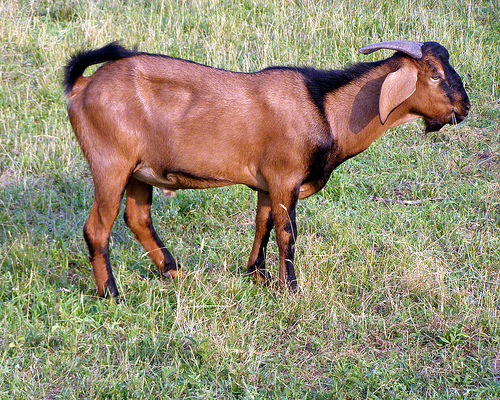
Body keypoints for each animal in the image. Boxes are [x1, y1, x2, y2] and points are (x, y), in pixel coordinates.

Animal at [63, 40, 468, 296]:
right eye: (434, 74)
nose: (463, 108)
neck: (324, 108)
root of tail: (82, 86)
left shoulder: (266, 183)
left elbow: (264, 222)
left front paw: (257, 275)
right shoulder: (284, 177)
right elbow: (287, 233)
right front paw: (290, 289)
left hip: (140, 171)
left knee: (138, 218)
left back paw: (175, 272)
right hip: (111, 164)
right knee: (97, 228)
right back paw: (112, 293)